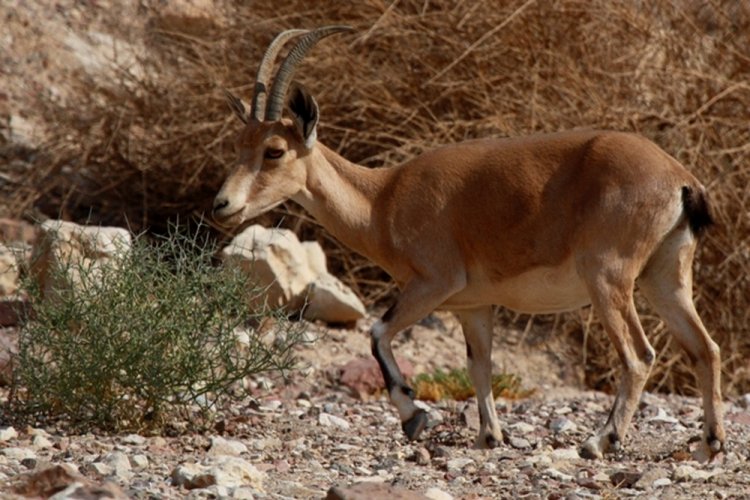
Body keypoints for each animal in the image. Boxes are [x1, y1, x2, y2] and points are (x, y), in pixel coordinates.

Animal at [210, 26, 724, 458]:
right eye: (239, 144)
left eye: (274, 151)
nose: (222, 205)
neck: (383, 200)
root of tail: (680, 179)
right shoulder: (472, 305)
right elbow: (480, 366)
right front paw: (489, 436)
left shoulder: (434, 283)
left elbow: (377, 332)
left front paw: (414, 416)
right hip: (665, 277)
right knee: (705, 348)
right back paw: (708, 445)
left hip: (608, 277)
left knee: (639, 355)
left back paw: (600, 441)